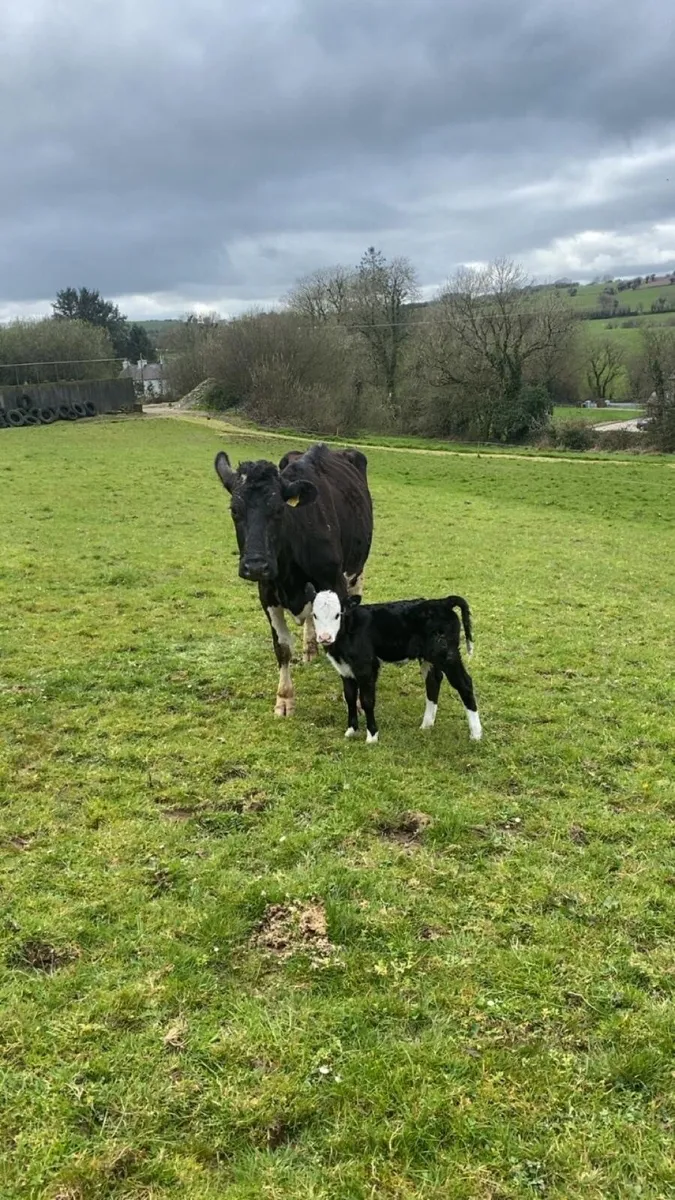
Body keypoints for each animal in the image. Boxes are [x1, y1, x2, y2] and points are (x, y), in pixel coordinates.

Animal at [214, 443, 373, 717]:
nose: (255, 565)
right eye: (234, 510)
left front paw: (357, 701)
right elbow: (282, 647)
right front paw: (284, 698)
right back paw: (310, 647)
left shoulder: (336, 584)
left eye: (279, 509)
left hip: (357, 569)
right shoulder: (267, 592)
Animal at [307, 587, 482, 744]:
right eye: (315, 615)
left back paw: (476, 734)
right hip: (429, 656)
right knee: (433, 681)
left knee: (465, 684)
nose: (325, 637)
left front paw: (372, 736)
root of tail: (442, 602)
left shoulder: (366, 668)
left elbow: (367, 700)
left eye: (338, 615)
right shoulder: (345, 669)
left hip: (447, 655)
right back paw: (426, 725)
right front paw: (351, 730)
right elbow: (350, 697)